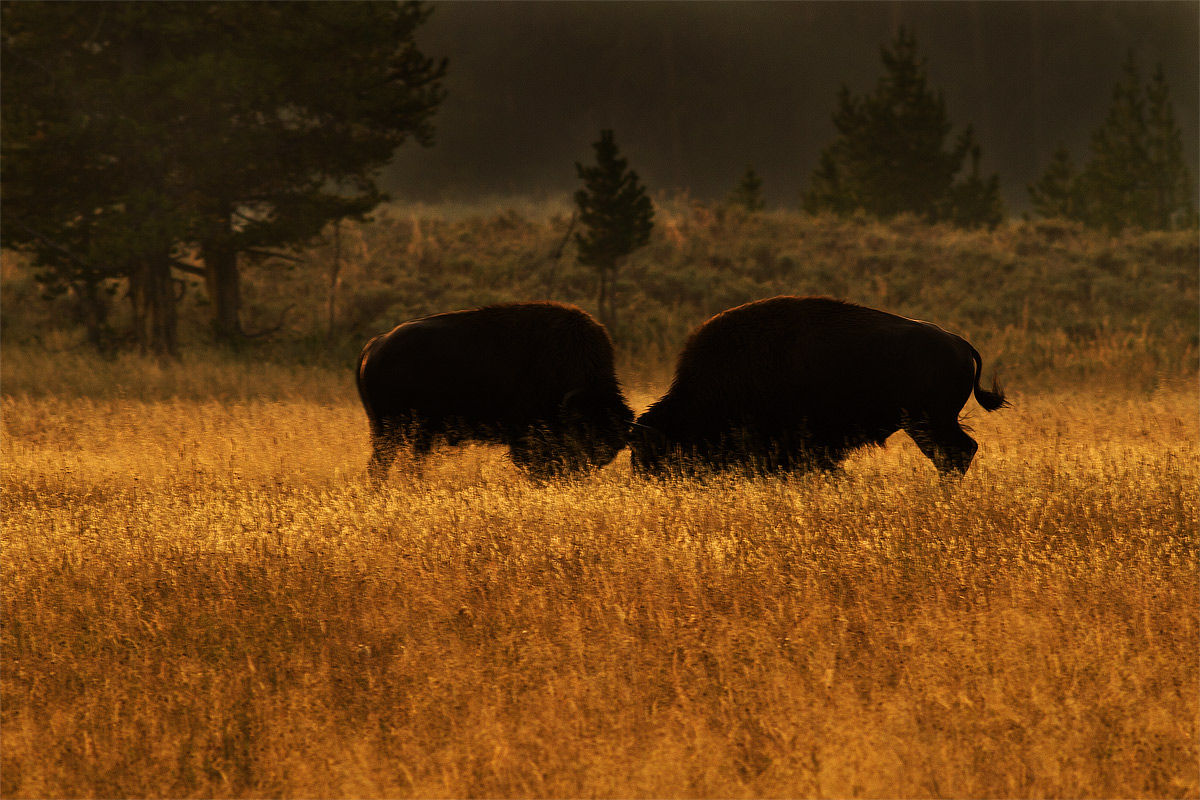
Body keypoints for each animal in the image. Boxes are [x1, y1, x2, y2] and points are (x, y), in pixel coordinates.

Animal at [631, 296, 1009, 478]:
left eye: (652, 451)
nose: (643, 479)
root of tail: (960, 342)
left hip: (928, 423)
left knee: (956, 454)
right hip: (931, 423)